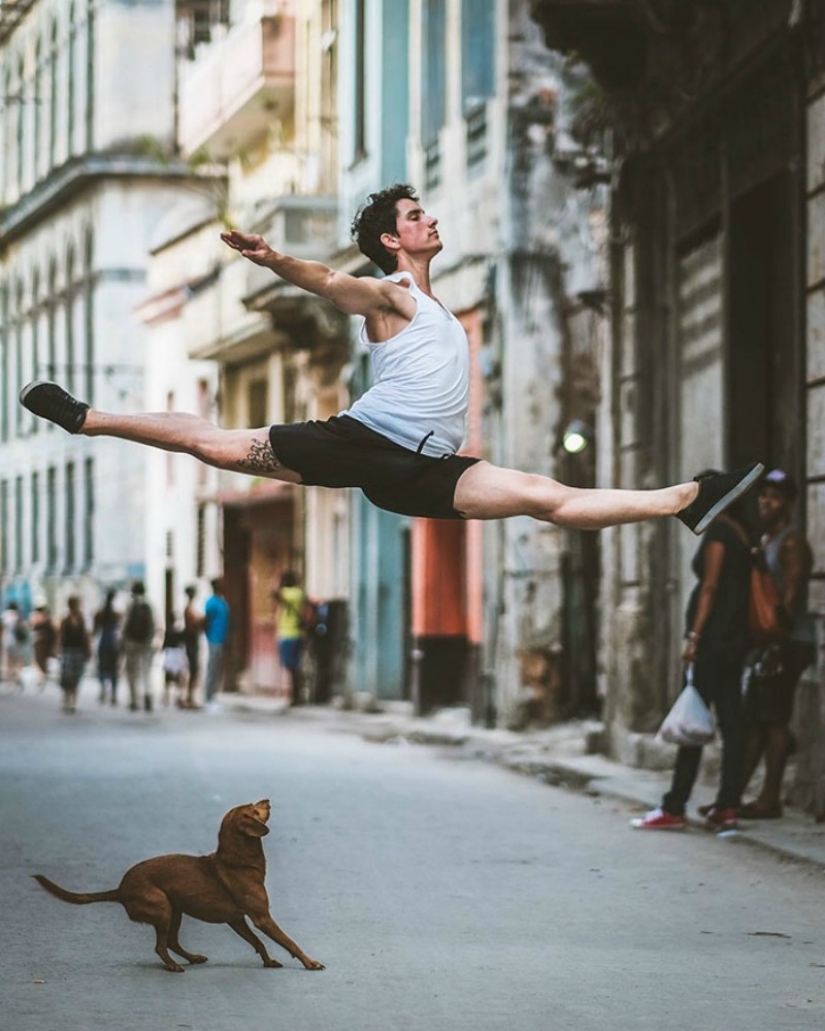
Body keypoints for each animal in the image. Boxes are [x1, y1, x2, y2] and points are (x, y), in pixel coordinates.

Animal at [35, 795, 325, 973]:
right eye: (254, 808)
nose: (267, 799)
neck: (237, 861)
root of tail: (121, 889)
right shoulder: (262, 918)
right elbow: (289, 941)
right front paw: (310, 962)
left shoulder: (237, 920)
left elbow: (258, 943)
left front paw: (268, 961)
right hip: (163, 908)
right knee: (160, 946)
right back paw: (174, 966)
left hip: (175, 911)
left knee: (172, 942)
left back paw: (192, 958)